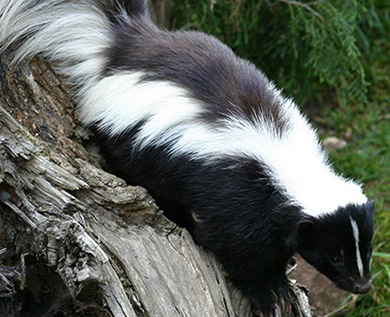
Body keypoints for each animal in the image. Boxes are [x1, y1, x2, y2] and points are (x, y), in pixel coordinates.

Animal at [0, 1, 374, 314]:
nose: (363, 285)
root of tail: (127, 46)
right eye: (335, 256)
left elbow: (275, 245)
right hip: (134, 145)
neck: (286, 160)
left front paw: (279, 283)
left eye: (366, 250)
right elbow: (237, 250)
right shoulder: (236, 195)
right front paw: (267, 296)